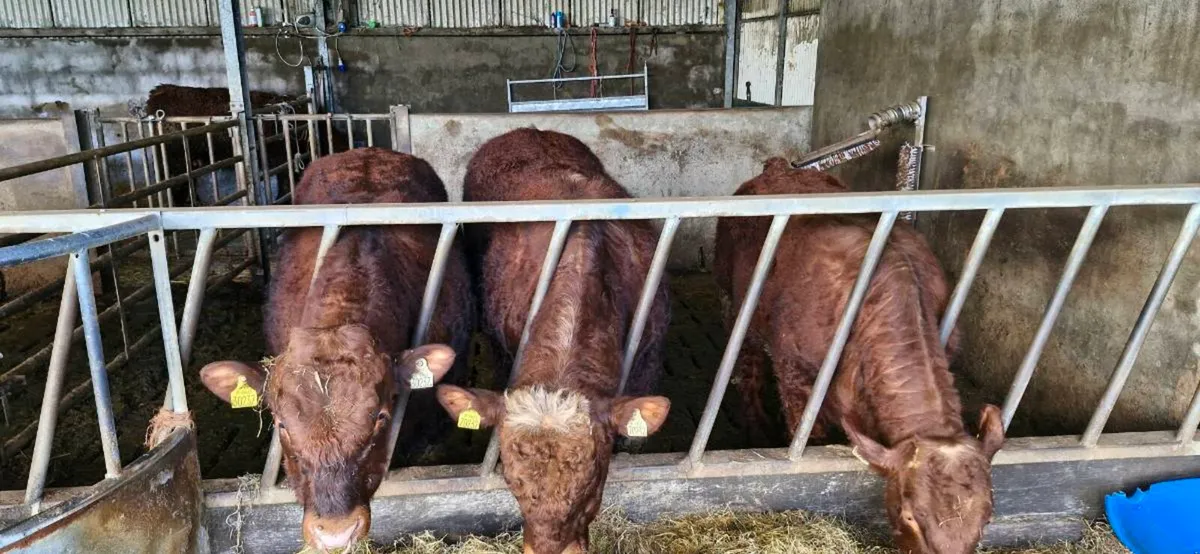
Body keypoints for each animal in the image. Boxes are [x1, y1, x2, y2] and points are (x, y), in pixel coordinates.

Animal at [714, 158, 1005, 554]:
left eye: (987, 519)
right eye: (910, 516)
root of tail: (779, 166)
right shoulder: (795, 374)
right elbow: (808, 437)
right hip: (736, 306)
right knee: (748, 367)